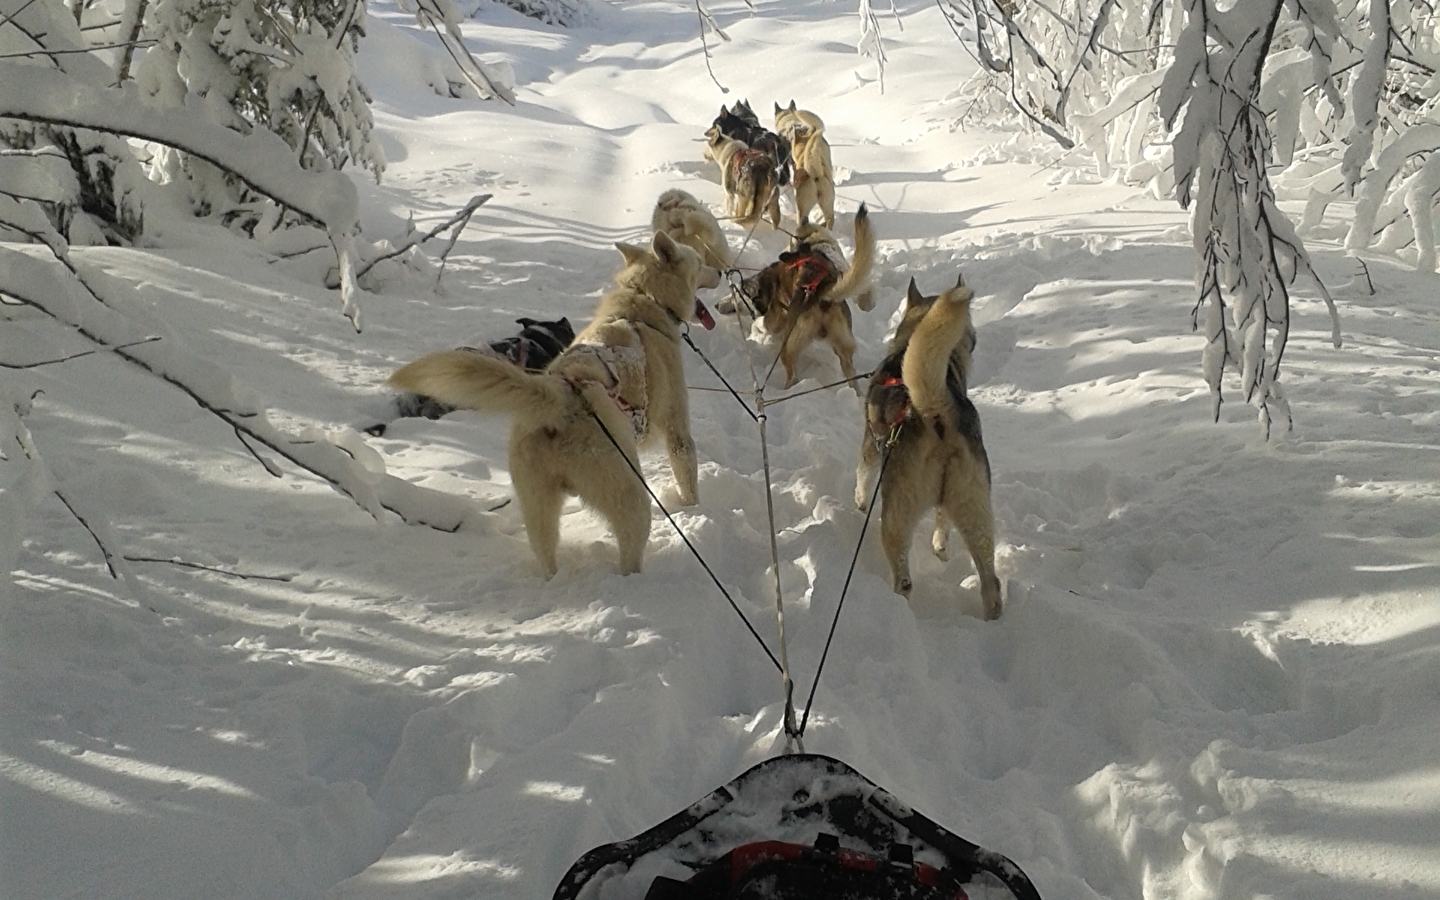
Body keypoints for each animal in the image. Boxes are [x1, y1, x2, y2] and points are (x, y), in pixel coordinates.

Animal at [388, 231, 720, 576]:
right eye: (700, 262)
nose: (721, 272)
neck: (645, 302)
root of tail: (559, 401)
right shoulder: (678, 432)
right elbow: (687, 476)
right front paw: (694, 507)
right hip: (631, 496)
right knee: (630, 547)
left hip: (538, 508)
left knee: (546, 554)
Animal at [743, 203, 875, 385]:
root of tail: (821, 295)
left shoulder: (775, 319)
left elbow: (761, 323)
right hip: (844, 349)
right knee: (852, 377)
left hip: (789, 346)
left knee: (792, 375)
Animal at [852, 273, 1002, 622]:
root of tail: (936, 411)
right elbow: (942, 524)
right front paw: (940, 550)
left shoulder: (869, 447)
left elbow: (862, 478)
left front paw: (858, 505)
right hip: (974, 507)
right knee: (991, 581)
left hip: (896, 513)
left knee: (904, 578)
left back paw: (897, 608)